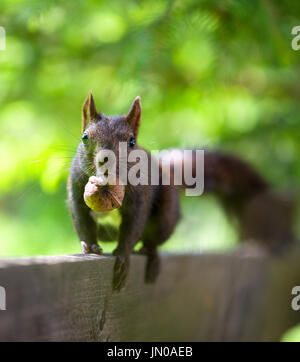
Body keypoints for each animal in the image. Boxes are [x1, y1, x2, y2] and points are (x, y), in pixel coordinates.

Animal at [67, 94, 292, 292]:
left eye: (131, 142)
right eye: (85, 137)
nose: (106, 160)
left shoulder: (140, 199)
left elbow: (132, 227)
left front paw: (123, 256)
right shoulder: (77, 193)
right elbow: (83, 222)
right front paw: (90, 247)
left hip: (166, 216)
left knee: (154, 238)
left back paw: (151, 253)